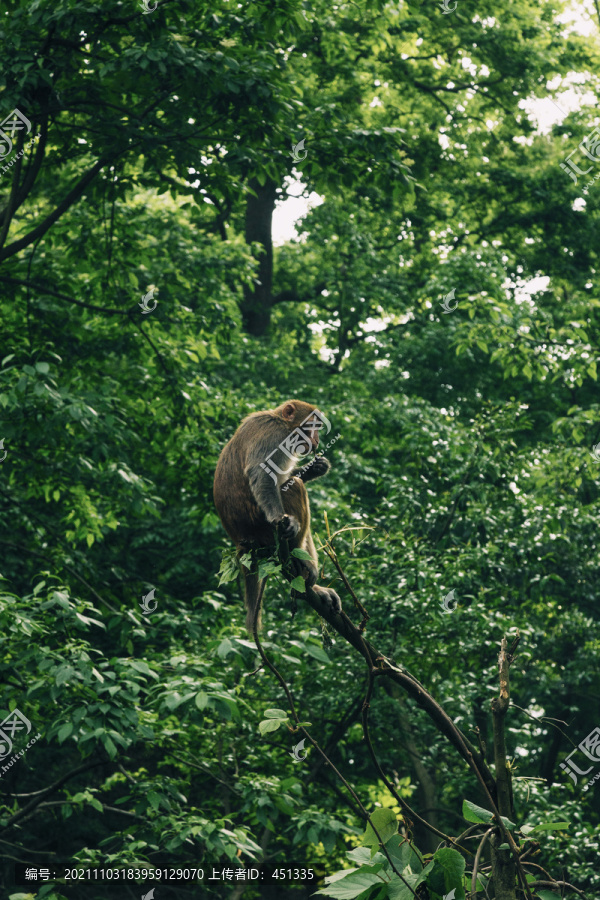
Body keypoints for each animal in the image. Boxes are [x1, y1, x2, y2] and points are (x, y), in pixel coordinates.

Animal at [213, 400, 340, 632]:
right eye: (312, 426)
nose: (317, 440)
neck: (282, 422)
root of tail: (242, 543)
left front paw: (316, 467)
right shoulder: (273, 434)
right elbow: (262, 474)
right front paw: (281, 518)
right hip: (264, 532)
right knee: (294, 487)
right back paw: (301, 562)